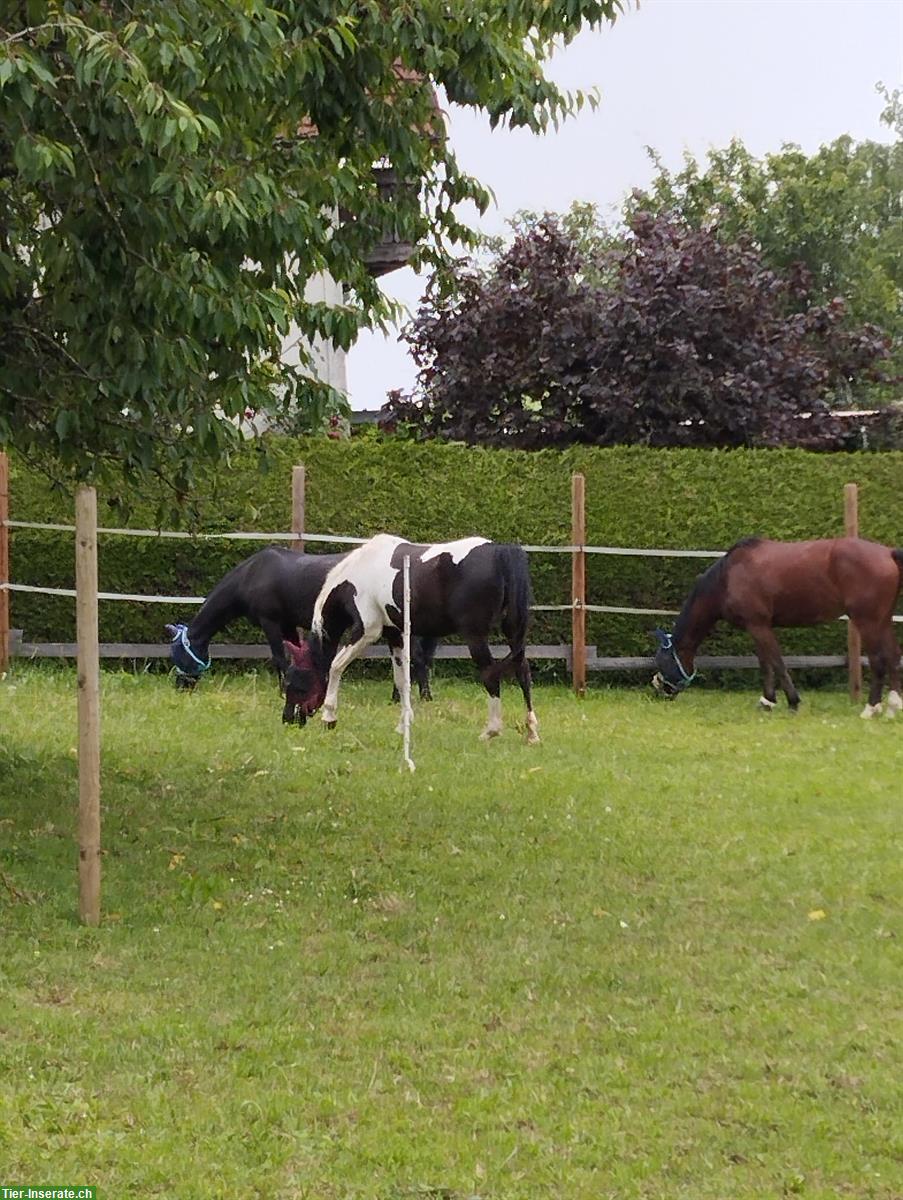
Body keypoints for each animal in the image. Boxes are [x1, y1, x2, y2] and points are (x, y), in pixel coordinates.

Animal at [168, 547, 439, 710]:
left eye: (178, 653)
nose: (180, 687)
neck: (252, 574)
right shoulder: (289, 626)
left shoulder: (271, 623)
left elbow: (279, 658)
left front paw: (282, 692)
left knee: (416, 657)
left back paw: (423, 696)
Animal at [278, 532, 540, 739]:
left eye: (297, 683)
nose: (288, 720)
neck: (358, 573)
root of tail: (500, 551)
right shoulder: (395, 634)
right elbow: (402, 679)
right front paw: (403, 726)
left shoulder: (367, 631)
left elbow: (335, 666)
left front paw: (329, 718)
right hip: (513, 633)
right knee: (523, 671)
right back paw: (531, 732)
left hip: (475, 636)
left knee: (490, 674)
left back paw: (491, 731)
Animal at [653, 535, 903, 710]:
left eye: (662, 661)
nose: (660, 692)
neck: (727, 577)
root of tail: (888, 553)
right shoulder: (758, 627)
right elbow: (766, 664)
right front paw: (768, 701)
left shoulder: (759, 626)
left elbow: (776, 662)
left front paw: (792, 701)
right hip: (883, 620)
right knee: (893, 657)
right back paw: (893, 706)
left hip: (868, 621)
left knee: (879, 660)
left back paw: (871, 708)